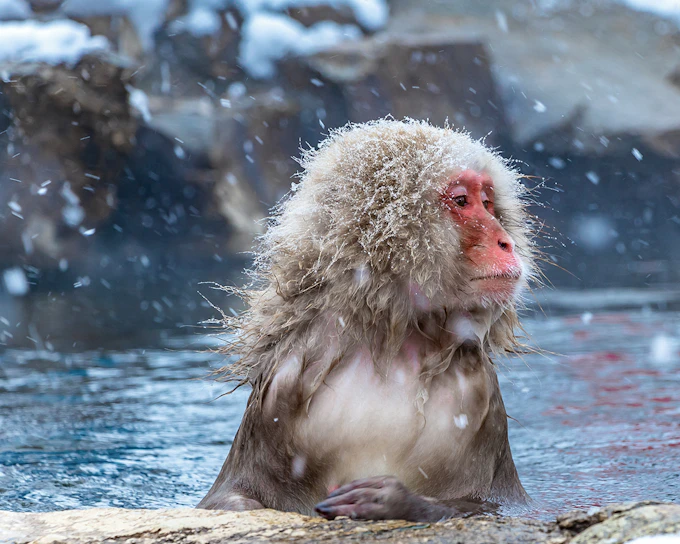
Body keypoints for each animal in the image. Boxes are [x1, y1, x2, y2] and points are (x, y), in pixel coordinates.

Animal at [197, 119, 538, 522]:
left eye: (488, 203)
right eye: (461, 201)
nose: (506, 242)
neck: (393, 344)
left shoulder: (482, 395)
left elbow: (489, 505)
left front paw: (390, 500)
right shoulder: (280, 387)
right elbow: (233, 494)